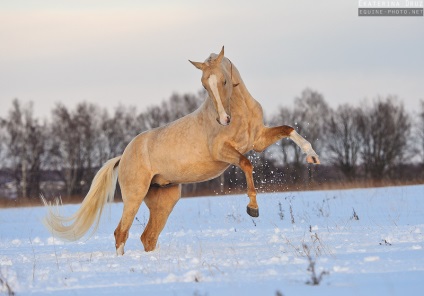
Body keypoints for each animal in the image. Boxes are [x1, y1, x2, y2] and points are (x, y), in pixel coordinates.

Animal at [44, 47, 322, 256]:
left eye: (223, 80)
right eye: (204, 85)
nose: (223, 119)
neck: (240, 111)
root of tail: (123, 156)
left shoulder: (259, 141)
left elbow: (288, 130)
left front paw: (313, 157)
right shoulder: (223, 151)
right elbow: (246, 164)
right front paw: (252, 208)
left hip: (164, 199)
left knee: (148, 237)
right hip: (134, 196)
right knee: (121, 232)